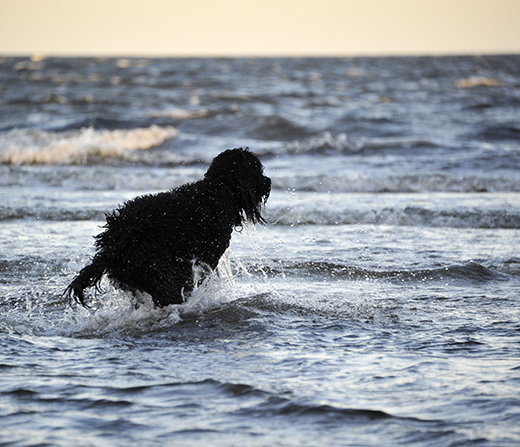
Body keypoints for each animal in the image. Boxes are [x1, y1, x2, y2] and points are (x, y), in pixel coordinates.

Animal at [64, 148, 272, 308]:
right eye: (258, 170)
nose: (269, 181)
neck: (217, 190)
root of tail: (115, 243)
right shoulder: (208, 257)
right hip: (163, 274)